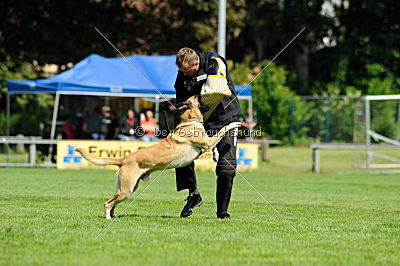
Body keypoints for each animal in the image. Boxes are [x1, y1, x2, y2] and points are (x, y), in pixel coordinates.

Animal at [74, 95, 241, 218]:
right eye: (197, 96)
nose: (203, 92)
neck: (189, 121)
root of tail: (123, 159)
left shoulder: (207, 144)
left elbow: (215, 147)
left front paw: (216, 155)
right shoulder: (207, 142)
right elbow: (222, 130)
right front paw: (235, 124)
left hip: (127, 188)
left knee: (112, 202)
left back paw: (113, 216)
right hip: (127, 189)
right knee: (107, 204)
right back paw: (108, 218)